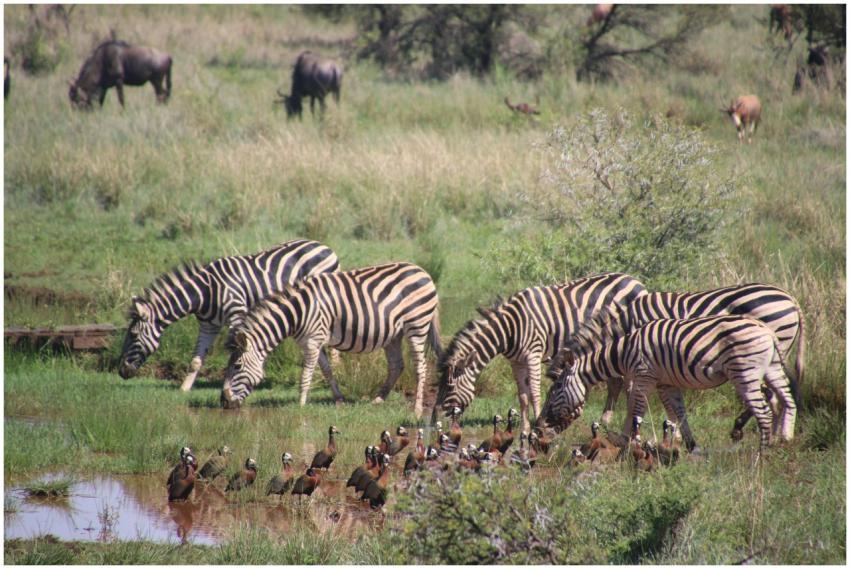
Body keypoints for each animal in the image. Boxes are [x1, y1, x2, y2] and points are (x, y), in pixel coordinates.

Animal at [119, 239, 339, 390]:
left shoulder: (236, 315)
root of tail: (324, 246)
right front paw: (184, 389)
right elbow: (196, 361)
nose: (121, 372)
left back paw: (338, 368)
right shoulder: (208, 325)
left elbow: (236, 350)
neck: (205, 293)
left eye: (133, 335)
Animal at [221, 262, 442, 417]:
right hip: (394, 334)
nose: (223, 402)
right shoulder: (313, 341)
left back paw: (417, 409)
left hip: (417, 325)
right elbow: (326, 370)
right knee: (397, 365)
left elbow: (306, 374)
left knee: (420, 366)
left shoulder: (312, 341)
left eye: (237, 366)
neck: (297, 312)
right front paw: (339, 399)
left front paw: (301, 404)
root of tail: (423, 272)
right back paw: (379, 399)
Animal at [434, 273, 647, 433]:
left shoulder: (533, 355)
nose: (435, 423)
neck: (510, 328)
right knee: (616, 382)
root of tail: (636, 281)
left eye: (450, 388)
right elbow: (523, 396)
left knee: (630, 384)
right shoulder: (516, 361)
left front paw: (537, 422)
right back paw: (605, 421)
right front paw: (525, 427)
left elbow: (535, 393)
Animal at [538, 314, 800, 451]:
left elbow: (635, 410)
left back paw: (762, 454)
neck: (624, 352)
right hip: (772, 369)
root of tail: (767, 330)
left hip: (745, 372)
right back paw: (784, 439)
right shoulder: (666, 383)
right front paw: (691, 446)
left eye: (556, 390)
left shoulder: (644, 376)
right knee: (787, 399)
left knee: (764, 412)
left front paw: (630, 443)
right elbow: (680, 413)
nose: (539, 426)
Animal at [595, 283, 805, 440]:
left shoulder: (653, 360)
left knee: (771, 393)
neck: (627, 325)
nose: (602, 421)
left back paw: (748, 429)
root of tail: (791, 299)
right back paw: (775, 434)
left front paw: (674, 433)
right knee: (776, 394)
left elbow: (643, 397)